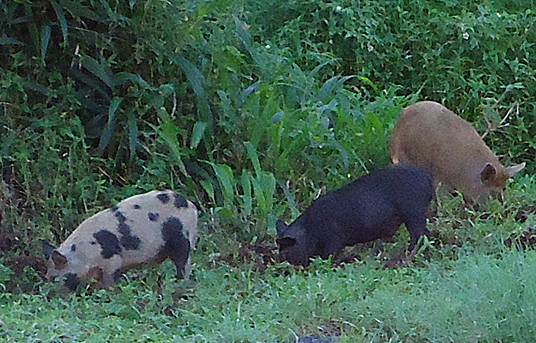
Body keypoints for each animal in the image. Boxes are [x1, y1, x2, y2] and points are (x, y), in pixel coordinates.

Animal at [42, 191, 197, 290]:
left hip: (183, 238)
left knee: (183, 264)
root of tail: (191, 206)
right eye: (47, 277)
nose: (49, 295)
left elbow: (109, 280)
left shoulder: (112, 259)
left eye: (55, 278)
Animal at [276, 165, 436, 268]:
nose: (282, 266)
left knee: (420, 236)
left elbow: (329, 257)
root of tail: (428, 179)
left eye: (285, 251)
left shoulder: (332, 241)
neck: (309, 230)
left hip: (414, 213)